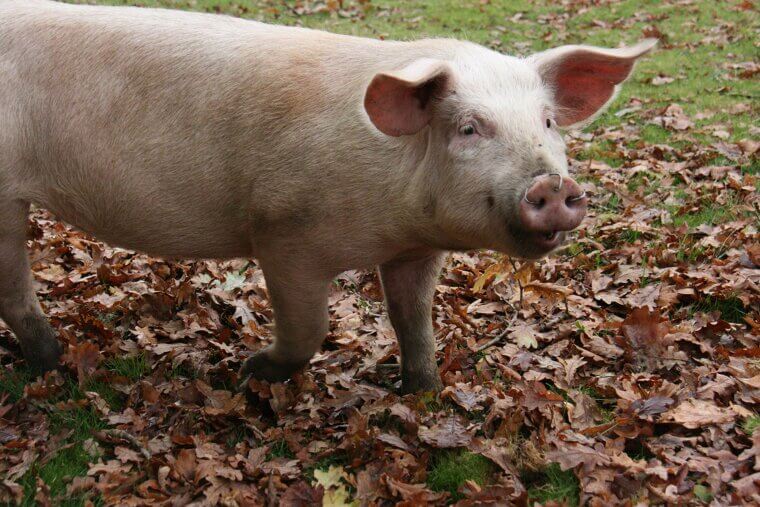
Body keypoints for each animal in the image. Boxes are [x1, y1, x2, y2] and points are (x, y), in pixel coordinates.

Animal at [0, 0, 654, 393]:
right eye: (470, 128)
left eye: (547, 122)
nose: (553, 185)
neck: (397, 219)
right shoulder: (285, 234)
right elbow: (311, 328)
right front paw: (249, 371)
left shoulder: (415, 251)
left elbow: (413, 319)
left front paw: (425, 392)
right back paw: (53, 362)